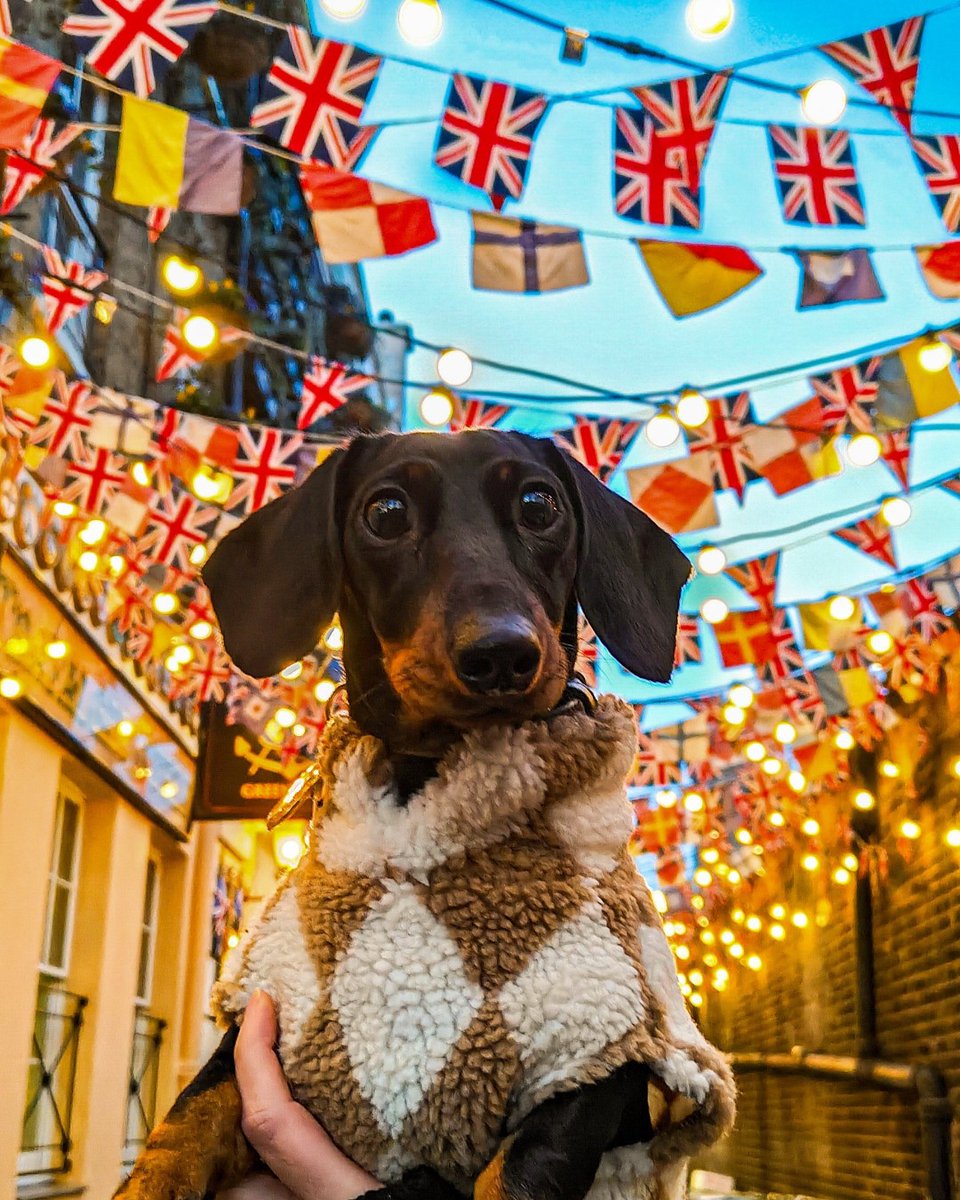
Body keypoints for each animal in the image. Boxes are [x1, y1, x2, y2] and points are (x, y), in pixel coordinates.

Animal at [118, 432, 734, 1200]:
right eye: (385, 512)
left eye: (540, 505)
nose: (501, 652)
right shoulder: (270, 1021)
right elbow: (188, 1121)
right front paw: (148, 1177)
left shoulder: (604, 1057)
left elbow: (520, 1174)